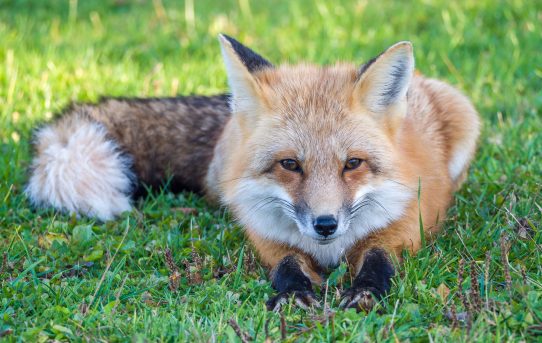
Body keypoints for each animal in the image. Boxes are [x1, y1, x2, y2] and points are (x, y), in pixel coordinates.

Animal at [27, 34, 482, 312]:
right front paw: (295, 294)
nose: (325, 224)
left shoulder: (405, 225)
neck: (330, 252)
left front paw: (366, 291)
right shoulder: (266, 235)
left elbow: (378, 259)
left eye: (352, 164)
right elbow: (287, 265)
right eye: (290, 164)